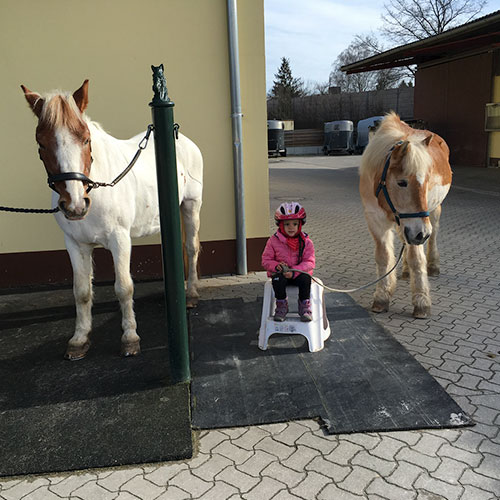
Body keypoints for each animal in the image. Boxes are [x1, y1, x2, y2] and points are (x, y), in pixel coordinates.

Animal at [23, 79, 203, 360]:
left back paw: (191, 294)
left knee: (191, 247)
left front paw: (130, 338)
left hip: (191, 205)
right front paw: (79, 340)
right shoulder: (75, 244)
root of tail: (181, 138)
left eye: (86, 139)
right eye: (41, 143)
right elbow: (81, 291)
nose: (74, 204)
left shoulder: (120, 240)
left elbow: (123, 287)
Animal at [358, 112, 452, 316]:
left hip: (433, 213)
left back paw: (433, 265)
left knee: (433, 236)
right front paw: (382, 297)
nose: (422, 234)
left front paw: (422, 301)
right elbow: (384, 257)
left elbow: (417, 259)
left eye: (426, 181)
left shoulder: (417, 226)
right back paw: (407, 272)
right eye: (402, 182)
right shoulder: (376, 221)